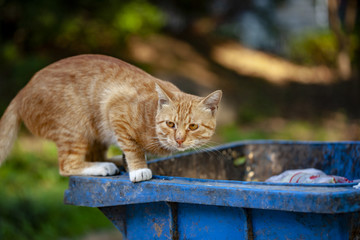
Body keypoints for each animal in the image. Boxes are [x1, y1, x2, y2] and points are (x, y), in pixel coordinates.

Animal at [0, 54, 222, 182]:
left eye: (192, 127)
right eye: (170, 124)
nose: (179, 140)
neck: (151, 115)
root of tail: (22, 92)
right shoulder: (115, 111)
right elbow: (132, 148)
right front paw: (139, 169)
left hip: (95, 132)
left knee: (93, 155)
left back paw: (113, 161)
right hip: (76, 127)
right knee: (67, 165)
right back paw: (102, 167)